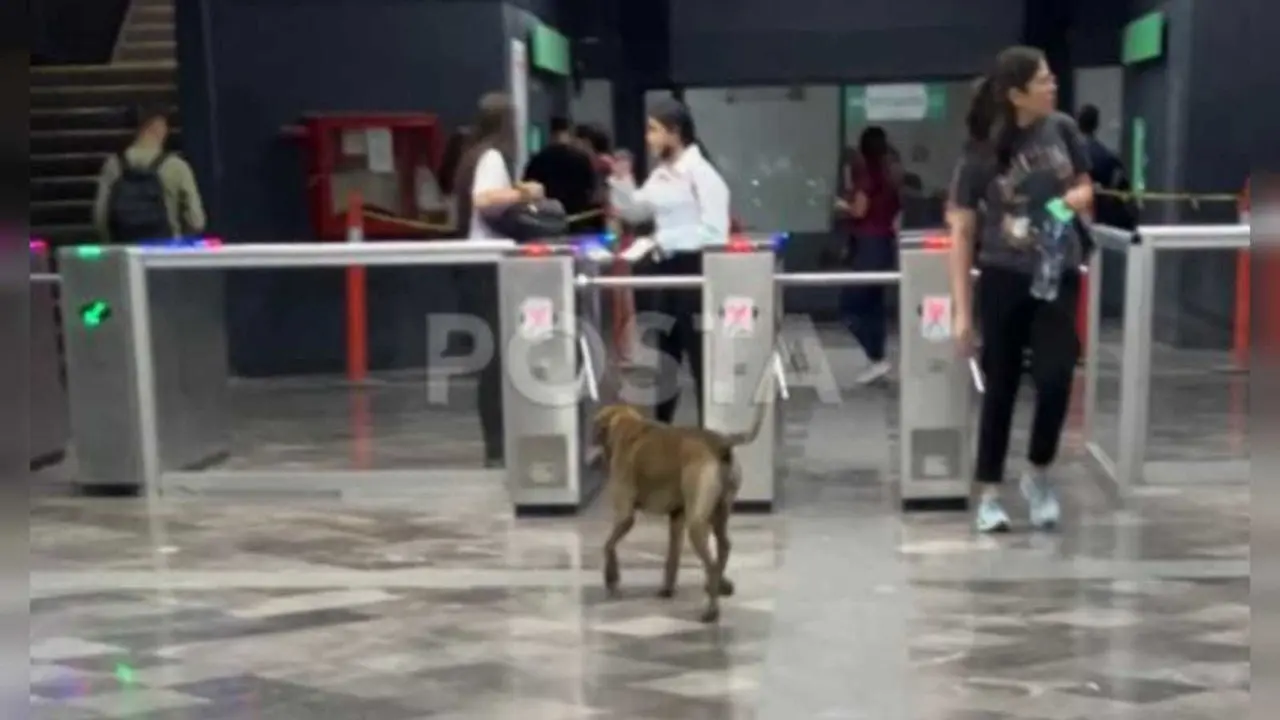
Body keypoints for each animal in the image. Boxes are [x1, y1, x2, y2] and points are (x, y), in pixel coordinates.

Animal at [591, 394, 768, 620]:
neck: (628, 426)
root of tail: (719, 442)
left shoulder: (625, 516)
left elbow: (608, 546)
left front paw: (612, 580)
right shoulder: (676, 517)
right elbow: (672, 556)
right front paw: (667, 588)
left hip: (697, 524)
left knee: (711, 564)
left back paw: (712, 608)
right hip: (719, 513)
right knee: (724, 546)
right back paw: (719, 584)